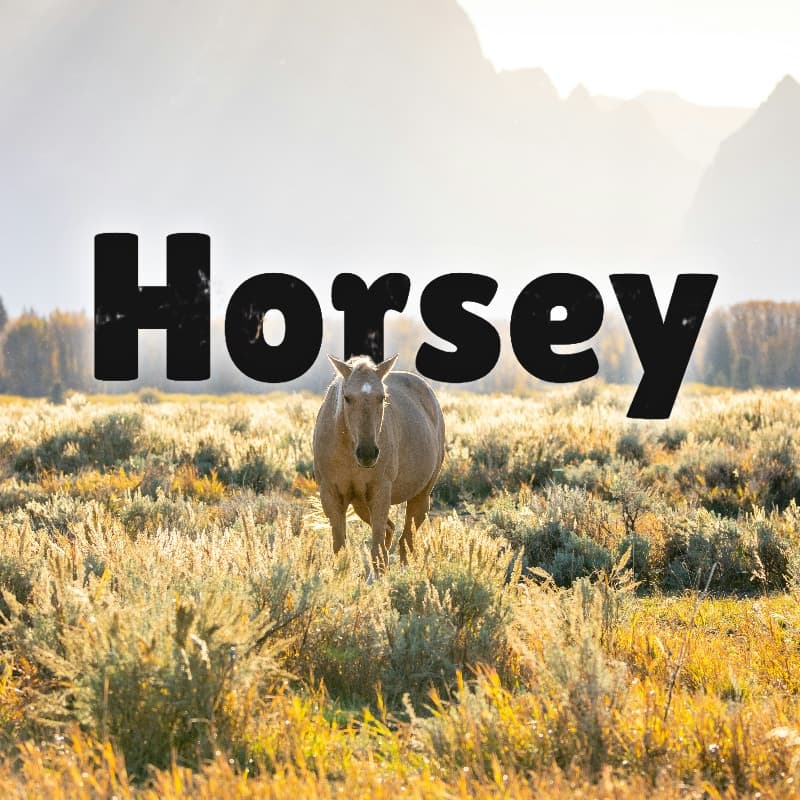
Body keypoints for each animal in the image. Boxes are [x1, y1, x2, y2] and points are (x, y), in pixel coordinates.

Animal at [312, 354, 445, 574]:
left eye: (382, 397)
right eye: (347, 398)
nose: (367, 453)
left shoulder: (381, 492)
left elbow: (378, 550)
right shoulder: (331, 496)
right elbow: (340, 550)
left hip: (420, 497)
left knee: (405, 541)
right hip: (361, 503)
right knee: (391, 532)